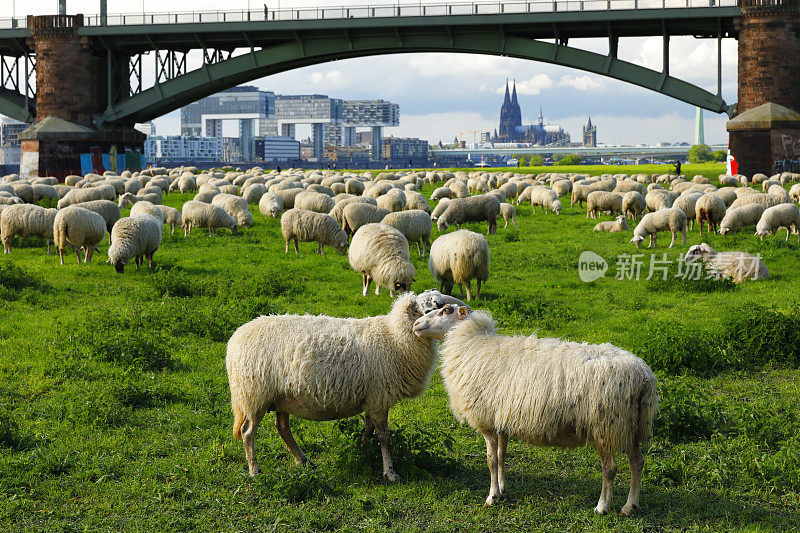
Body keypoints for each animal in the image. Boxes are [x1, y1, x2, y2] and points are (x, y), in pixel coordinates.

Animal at [225, 290, 456, 478]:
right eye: (424, 309)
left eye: (440, 306)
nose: (423, 323)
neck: (394, 336)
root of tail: (236, 336)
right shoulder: (380, 398)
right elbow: (385, 438)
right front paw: (390, 472)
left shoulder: (372, 398)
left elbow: (368, 430)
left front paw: (364, 454)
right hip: (254, 395)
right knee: (247, 432)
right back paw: (255, 470)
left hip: (281, 397)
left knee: (282, 428)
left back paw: (303, 461)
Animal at [410, 304, 660, 516]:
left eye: (446, 310)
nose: (416, 324)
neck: (472, 344)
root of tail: (643, 376)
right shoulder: (501, 420)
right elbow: (502, 455)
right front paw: (502, 488)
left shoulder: (487, 422)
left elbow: (491, 459)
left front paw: (492, 496)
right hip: (631, 425)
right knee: (637, 462)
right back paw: (630, 506)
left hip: (605, 425)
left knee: (610, 468)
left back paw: (602, 507)